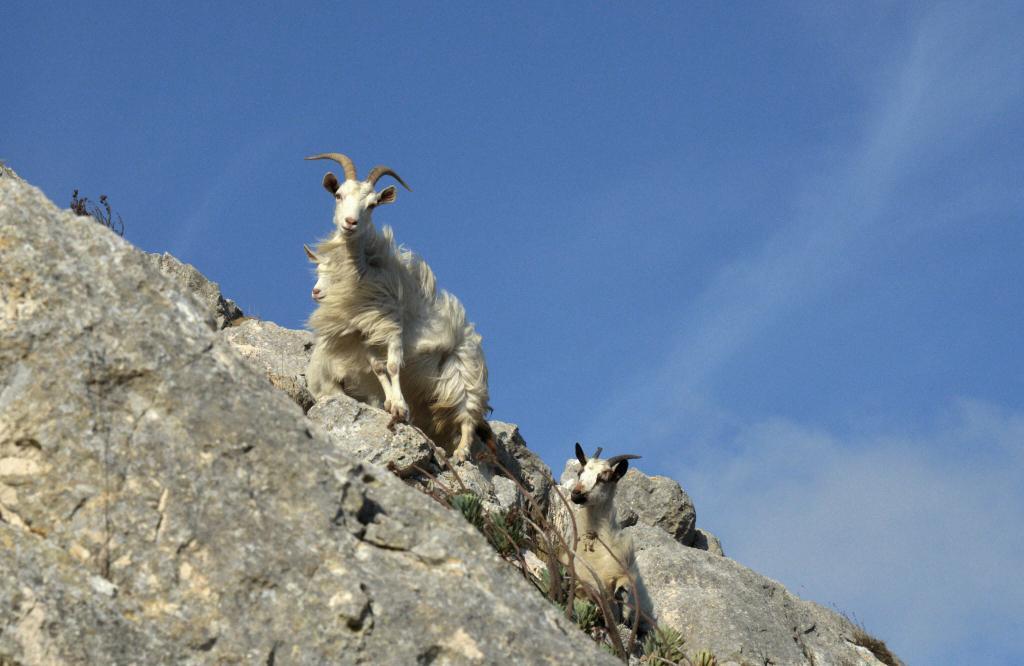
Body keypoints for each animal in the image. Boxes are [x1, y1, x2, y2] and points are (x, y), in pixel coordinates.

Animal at [304, 152, 493, 463]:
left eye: (372, 205)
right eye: (339, 195)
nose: (350, 222)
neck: (365, 270)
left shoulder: (393, 327)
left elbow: (393, 365)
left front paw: (400, 407)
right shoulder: (366, 332)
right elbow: (379, 368)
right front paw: (393, 406)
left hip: (464, 370)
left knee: (467, 414)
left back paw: (461, 452)